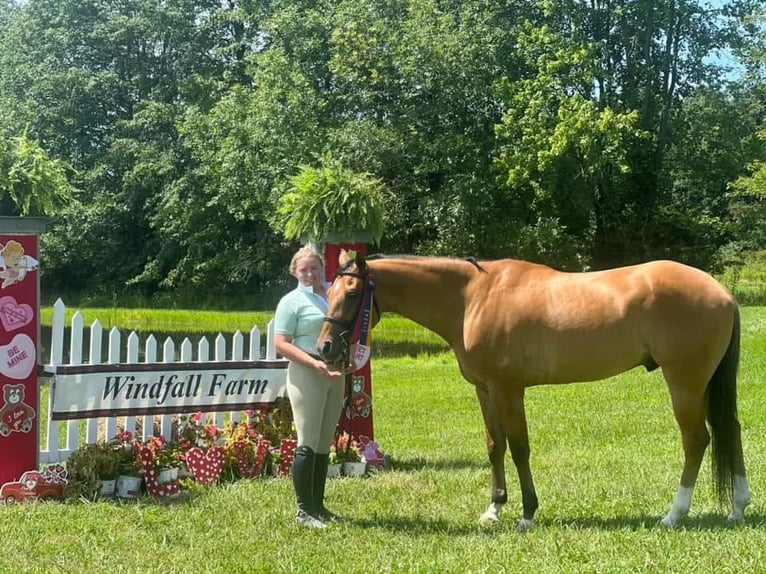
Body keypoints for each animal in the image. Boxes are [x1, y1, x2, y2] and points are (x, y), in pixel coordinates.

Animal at [317, 250, 751, 530]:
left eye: (352, 294)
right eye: (330, 292)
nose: (326, 347)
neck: (472, 297)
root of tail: (723, 293)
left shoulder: (509, 389)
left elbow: (520, 448)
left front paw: (527, 513)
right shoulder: (486, 390)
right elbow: (495, 446)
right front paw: (494, 509)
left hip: (685, 383)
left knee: (697, 440)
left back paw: (674, 514)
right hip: (705, 385)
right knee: (730, 430)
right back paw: (738, 507)